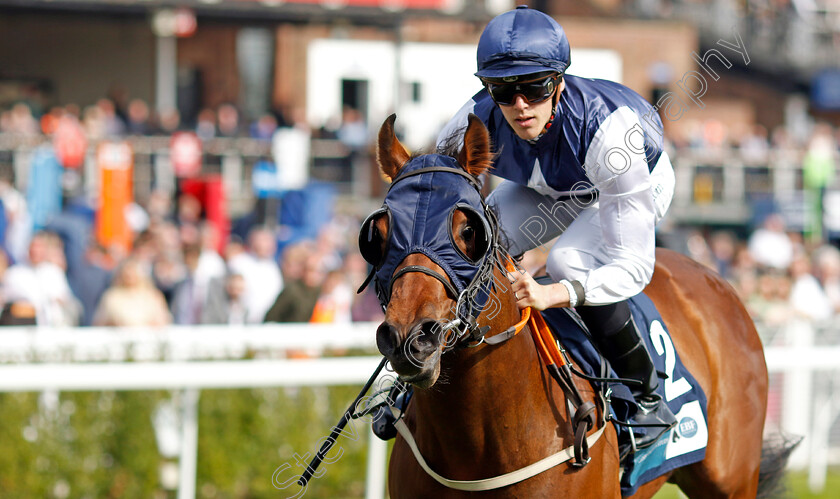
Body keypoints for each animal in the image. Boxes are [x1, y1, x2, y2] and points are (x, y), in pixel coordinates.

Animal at [368, 115, 788, 498]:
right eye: (379, 234)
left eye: (468, 231)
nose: (410, 339)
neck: (477, 449)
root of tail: (714, 277)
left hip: (732, 480)